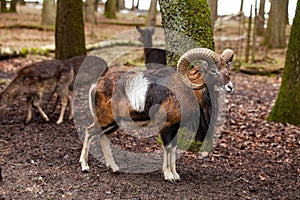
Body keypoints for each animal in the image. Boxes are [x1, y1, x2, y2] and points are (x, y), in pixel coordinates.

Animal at [79, 47, 234, 182]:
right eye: (213, 70)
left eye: (228, 70)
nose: (230, 87)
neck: (186, 91)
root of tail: (97, 84)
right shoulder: (165, 126)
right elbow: (167, 148)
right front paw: (168, 176)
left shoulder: (175, 127)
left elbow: (173, 148)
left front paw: (176, 175)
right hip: (105, 119)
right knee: (89, 131)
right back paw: (85, 166)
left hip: (113, 123)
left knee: (103, 137)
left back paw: (115, 168)